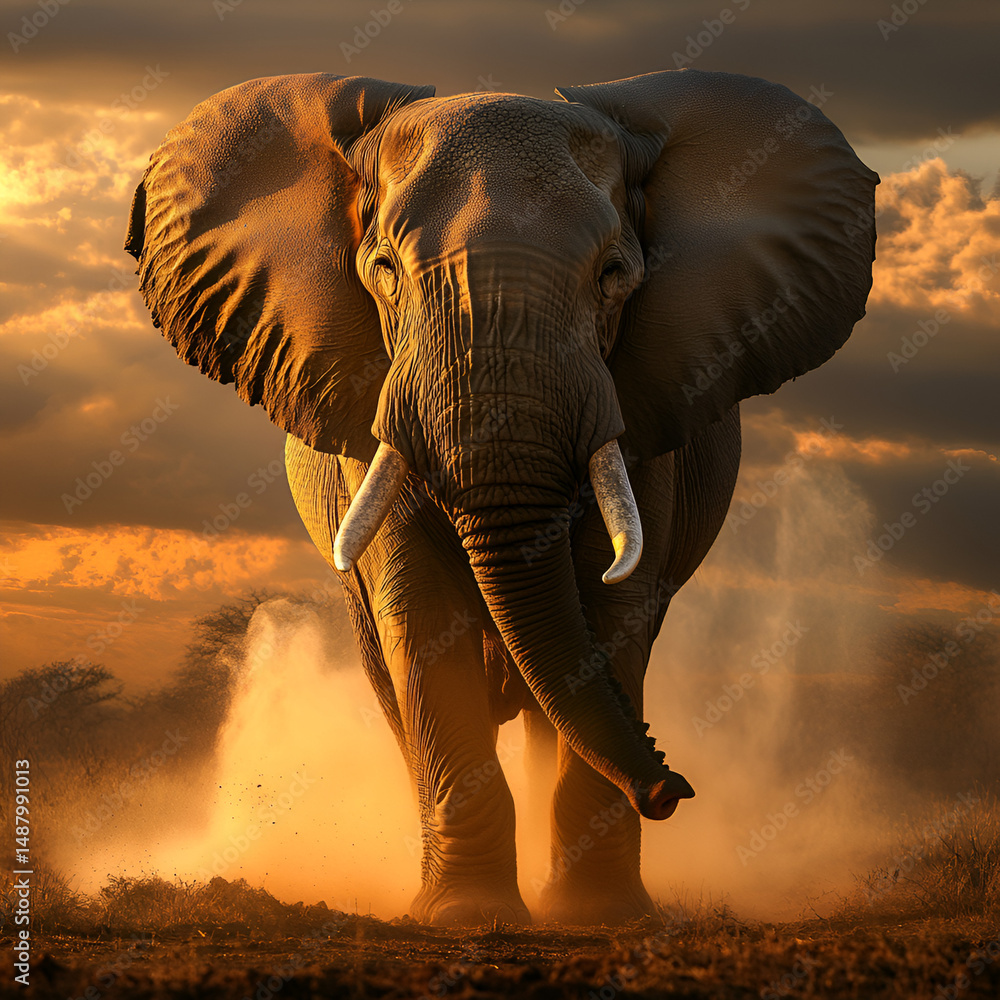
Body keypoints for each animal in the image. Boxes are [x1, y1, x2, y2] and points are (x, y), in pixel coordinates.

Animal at [124, 68, 877, 926]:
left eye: (613, 274)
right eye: (384, 270)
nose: (672, 789)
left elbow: (610, 612)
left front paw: (596, 918)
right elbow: (422, 617)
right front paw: (464, 916)